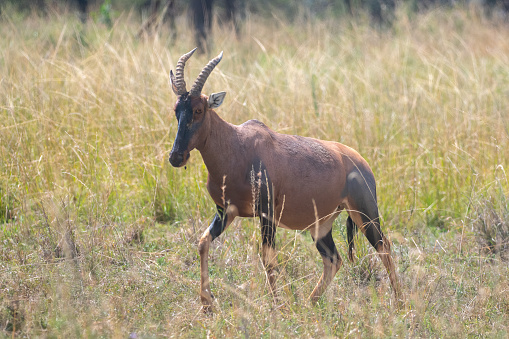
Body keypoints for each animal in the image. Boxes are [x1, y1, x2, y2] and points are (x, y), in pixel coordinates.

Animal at [167, 49, 400, 312]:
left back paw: (401, 304)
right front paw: (207, 303)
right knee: (333, 259)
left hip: (365, 213)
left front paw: (277, 306)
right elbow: (203, 242)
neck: (236, 145)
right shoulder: (226, 211)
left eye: (199, 110)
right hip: (321, 226)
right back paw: (309, 304)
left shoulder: (267, 213)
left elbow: (267, 257)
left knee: (384, 247)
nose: (176, 157)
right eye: (176, 109)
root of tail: (361, 162)